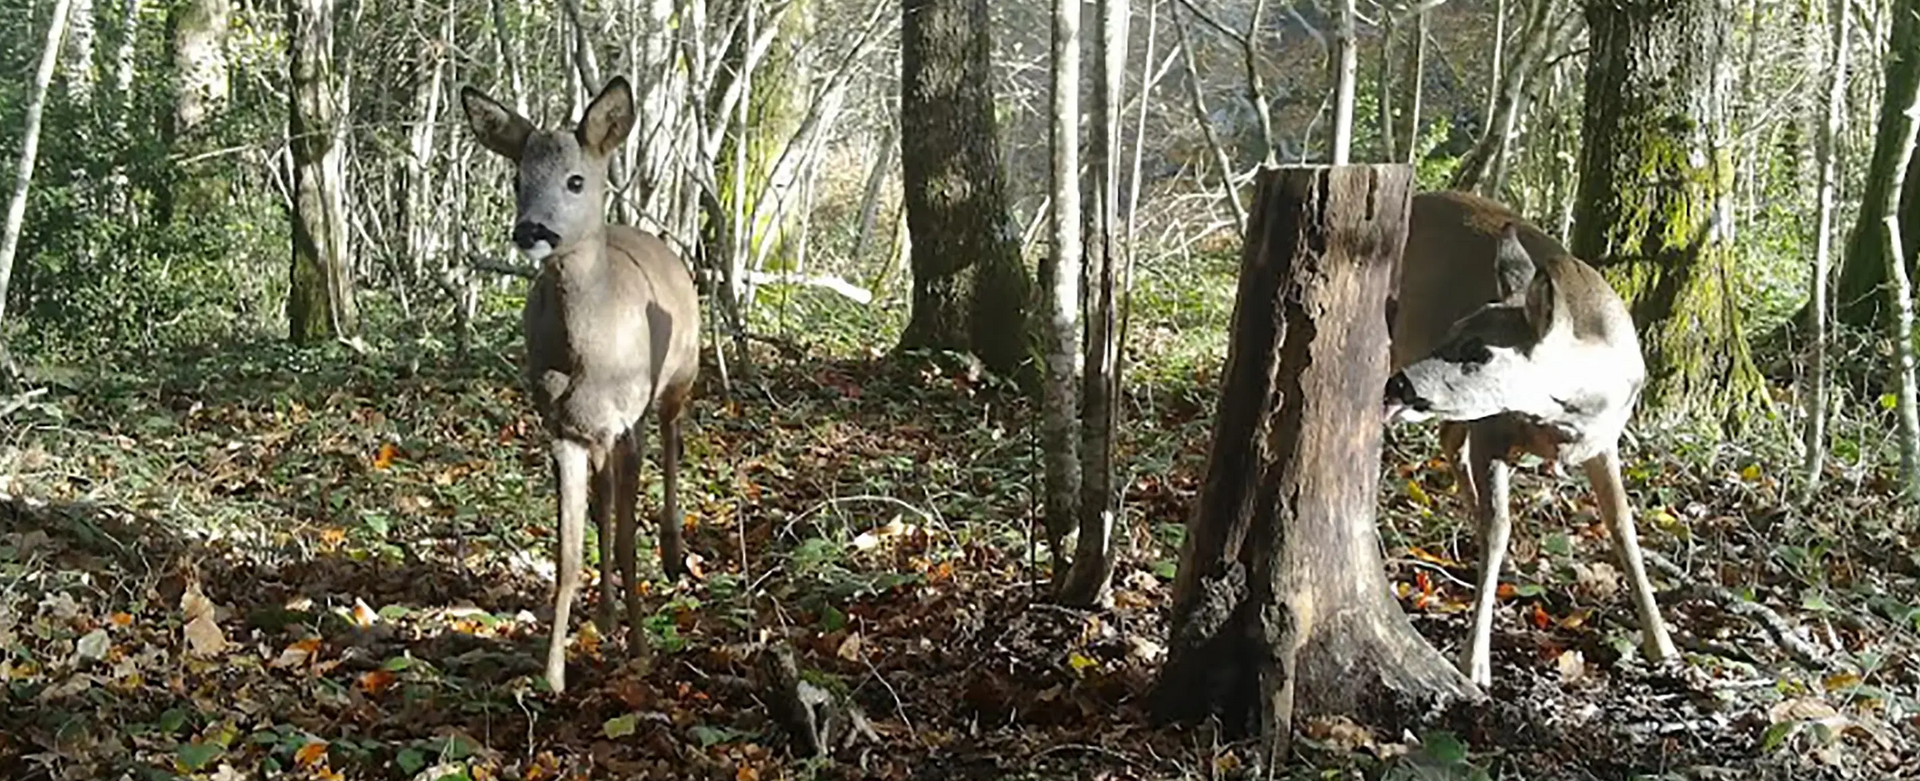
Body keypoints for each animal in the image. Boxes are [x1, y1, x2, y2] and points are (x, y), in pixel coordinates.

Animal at [460, 76, 702, 694]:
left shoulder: (626, 421)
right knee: (603, 497)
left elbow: (627, 539)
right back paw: (608, 612)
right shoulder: (561, 428)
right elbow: (569, 550)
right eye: (517, 178)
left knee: (673, 438)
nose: (531, 230)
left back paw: (673, 552)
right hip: (597, 435)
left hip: (679, 376)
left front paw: (641, 650)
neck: (589, 352)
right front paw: (552, 674)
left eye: (575, 180)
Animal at [1382, 190, 1681, 690]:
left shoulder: (1605, 442)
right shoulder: (1491, 430)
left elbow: (1623, 527)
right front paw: (1475, 661)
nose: (1399, 385)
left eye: (1480, 351)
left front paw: (1663, 645)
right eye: (1451, 330)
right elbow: (1498, 526)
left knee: (1447, 438)